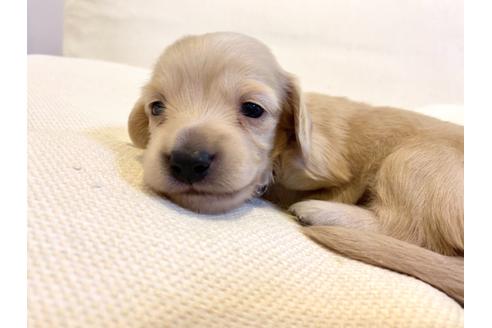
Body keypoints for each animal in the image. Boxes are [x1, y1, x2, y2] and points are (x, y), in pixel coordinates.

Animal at [129, 32, 464, 304]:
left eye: (253, 109)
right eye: (156, 107)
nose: (187, 161)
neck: (283, 151)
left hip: (413, 158)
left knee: (406, 229)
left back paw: (319, 212)